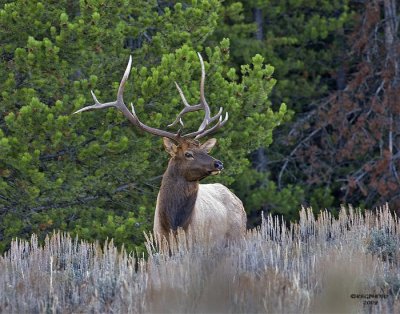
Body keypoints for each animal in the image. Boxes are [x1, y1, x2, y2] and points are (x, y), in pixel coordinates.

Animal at [73, 53, 245, 243]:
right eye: (188, 154)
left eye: (205, 150)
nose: (218, 164)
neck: (173, 226)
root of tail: (236, 198)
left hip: (237, 237)